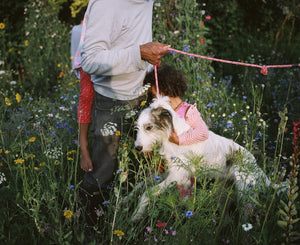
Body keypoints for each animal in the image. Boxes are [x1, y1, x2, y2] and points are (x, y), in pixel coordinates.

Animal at [132, 96, 270, 222]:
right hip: (224, 193)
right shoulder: (168, 174)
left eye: (149, 127)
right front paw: (129, 200)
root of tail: (256, 166)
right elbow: (140, 185)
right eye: (137, 128)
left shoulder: (177, 176)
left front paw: (136, 214)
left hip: (245, 197)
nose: (137, 148)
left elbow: (148, 192)